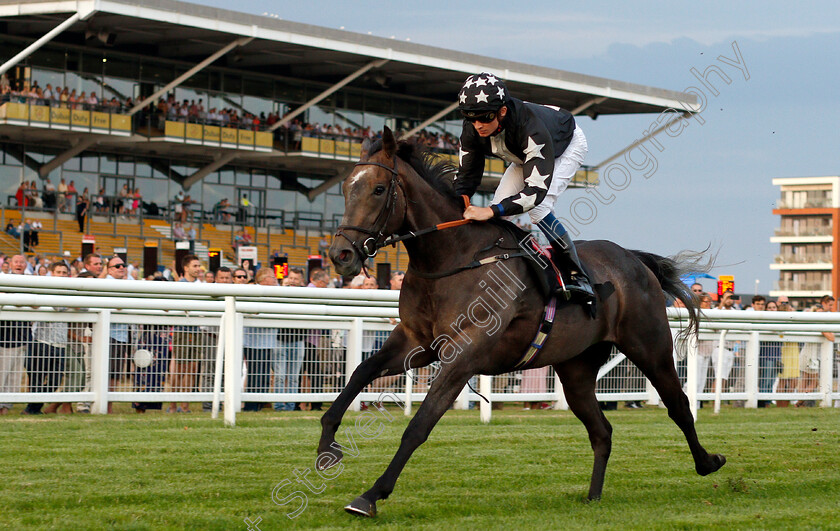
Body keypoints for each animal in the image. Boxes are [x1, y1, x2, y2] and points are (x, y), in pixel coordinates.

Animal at [318, 127, 724, 516]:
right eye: (346, 188)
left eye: (378, 189)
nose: (340, 254)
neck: (452, 257)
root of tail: (635, 259)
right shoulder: (416, 341)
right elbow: (360, 372)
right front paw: (327, 446)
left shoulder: (463, 354)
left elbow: (420, 425)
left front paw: (370, 495)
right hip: (576, 368)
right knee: (602, 430)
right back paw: (593, 496)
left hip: (649, 347)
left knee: (678, 404)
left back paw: (708, 462)